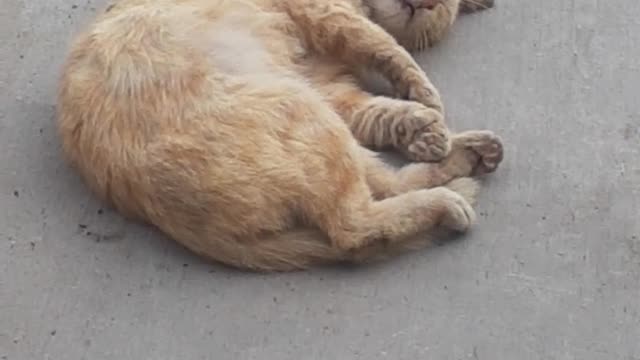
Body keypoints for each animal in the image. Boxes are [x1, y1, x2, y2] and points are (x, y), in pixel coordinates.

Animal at [57, 0, 502, 270]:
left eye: (442, 8)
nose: (425, 4)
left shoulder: (330, 87)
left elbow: (383, 111)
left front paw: (423, 129)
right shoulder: (329, 16)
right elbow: (388, 48)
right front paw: (428, 102)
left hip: (315, 115)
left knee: (382, 190)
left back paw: (469, 156)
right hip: (303, 109)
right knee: (353, 227)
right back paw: (449, 198)